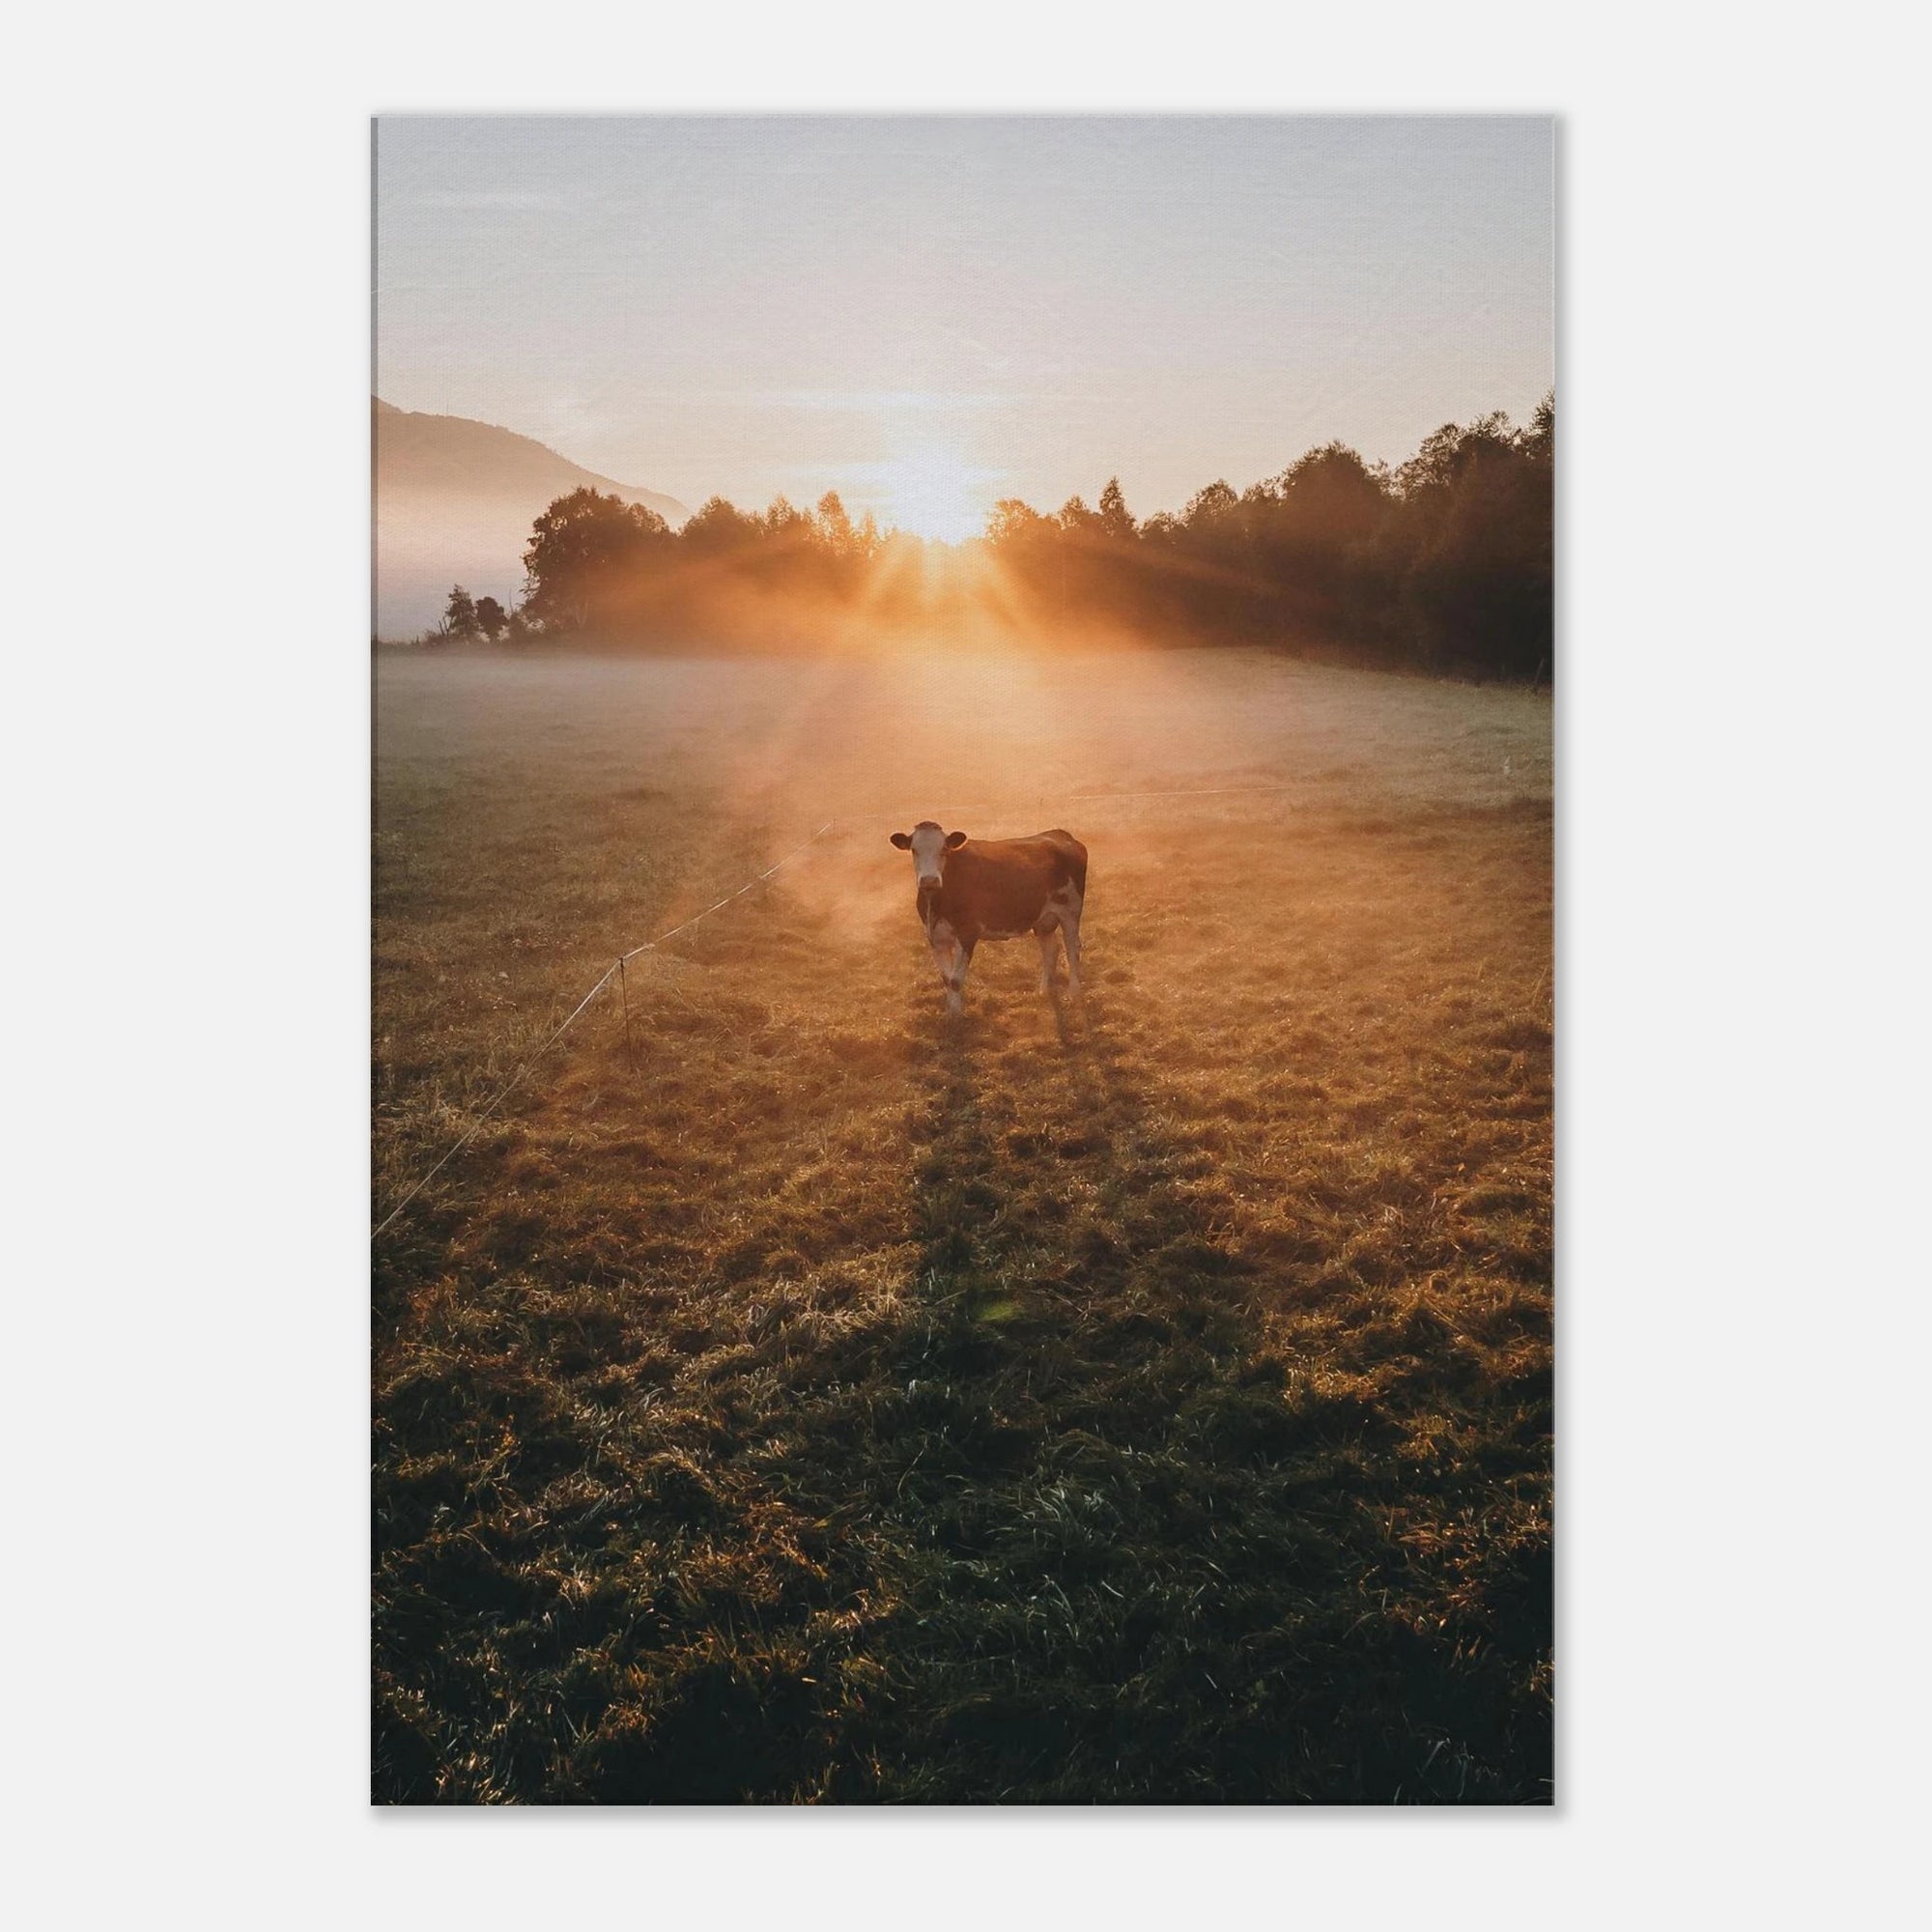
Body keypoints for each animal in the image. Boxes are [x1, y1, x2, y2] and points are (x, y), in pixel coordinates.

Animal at [889, 821, 1088, 1015]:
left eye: (944, 849)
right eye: (914, 850)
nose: (929, 880)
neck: (936, 903)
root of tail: (1059, 834)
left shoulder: (968, 933)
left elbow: (955, 980)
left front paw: (956, 1016)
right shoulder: (935, 938)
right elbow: (947, 978)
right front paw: (951, 1012)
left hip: (1070, 912)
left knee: (1072, 949)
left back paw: (1074, 993)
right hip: (1043, 919)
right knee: (1050, 950)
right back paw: (1044, 991)